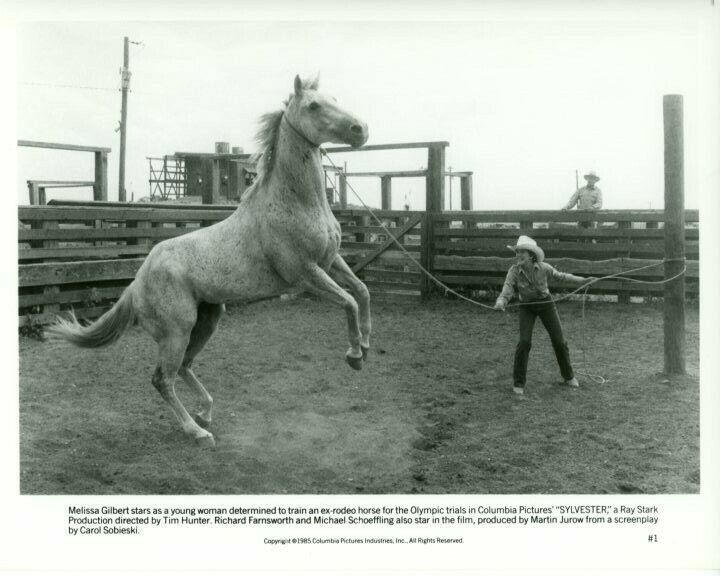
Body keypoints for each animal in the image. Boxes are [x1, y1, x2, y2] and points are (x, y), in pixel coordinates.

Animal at [52, 75, 372, 446]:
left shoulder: (331, 261)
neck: (296, 203)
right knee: (162, 378)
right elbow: (348, 301)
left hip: (207, 320)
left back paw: (205, 412)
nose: (361, 129)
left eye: (334, 98)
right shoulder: (304, 273)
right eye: (314, 106)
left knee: (185, 367)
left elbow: (361, 291)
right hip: (177, 331)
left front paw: (366, 344)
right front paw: (354, 357)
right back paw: (197, 431)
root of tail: (137, 282)